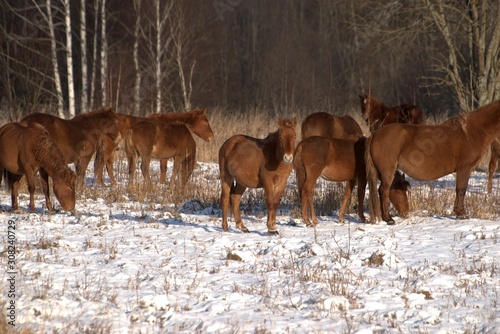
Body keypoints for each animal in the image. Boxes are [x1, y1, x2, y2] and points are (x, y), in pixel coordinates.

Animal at [366, 100, 500, 223]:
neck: (470, 132)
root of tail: (375, 134)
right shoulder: (464, 169)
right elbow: (461, 190)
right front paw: (461, 214)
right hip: (387, 172)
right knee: (383, 191)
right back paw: (388, 219)